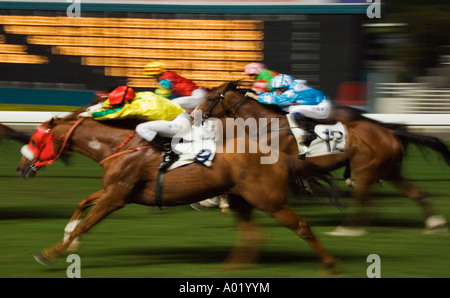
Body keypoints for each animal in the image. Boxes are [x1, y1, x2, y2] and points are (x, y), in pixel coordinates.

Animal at [15, 110, 342, 274]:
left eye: (35, 139)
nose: (20, 167)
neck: (115, 147)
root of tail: (280, 157)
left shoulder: (116, 196)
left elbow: (88, 221)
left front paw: (49, 253)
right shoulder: (115, 191)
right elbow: (83, 203)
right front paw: (69, 238)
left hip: (269, 201)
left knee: (301, 226)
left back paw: (329, 265)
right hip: (243, 200)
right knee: (252, 233)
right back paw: (230, 268)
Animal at [196, 81, 450, 235]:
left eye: (210, 99)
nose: (195, 115)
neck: (266, 125)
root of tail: (389, 132)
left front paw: (211, 201)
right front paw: (210, 201)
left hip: (366, 169)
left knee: (364, 199)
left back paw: (348, 229)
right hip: (389, 169)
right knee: (414, 192)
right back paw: (435, 223)